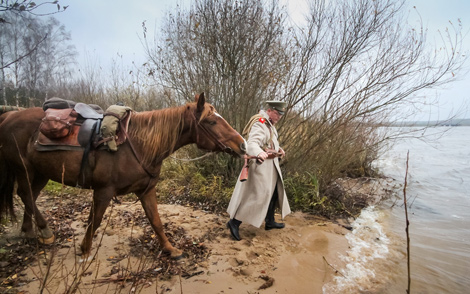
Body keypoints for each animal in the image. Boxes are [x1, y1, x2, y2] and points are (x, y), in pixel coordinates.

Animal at [0, 93, 248, 258]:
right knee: (25, 194)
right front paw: (84, 249)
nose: (242, 145)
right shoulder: (103, 191)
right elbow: (95, 221)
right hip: (23, 169)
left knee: (29, 196)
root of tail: (8, 116)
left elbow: (156, 221)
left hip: (42, 172)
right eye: (211, 121)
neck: (138, 144)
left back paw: (31, 232)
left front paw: (171, 249)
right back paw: (44, 230)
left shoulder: (146, 190)